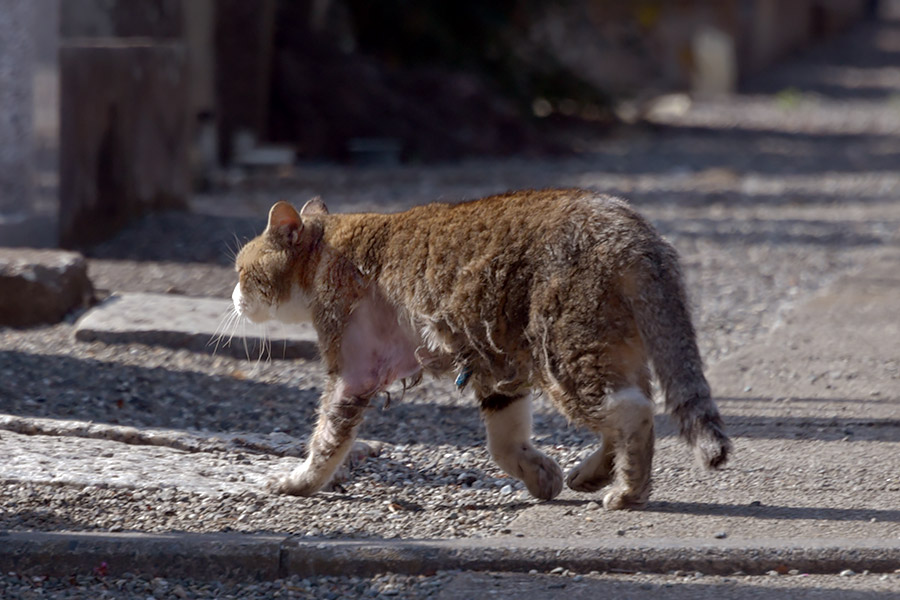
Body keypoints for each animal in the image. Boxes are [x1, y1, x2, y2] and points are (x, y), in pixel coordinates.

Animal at [232, 188, 732, 506]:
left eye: (240, 270)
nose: (233, 296)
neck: (329, 249)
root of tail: (633, 230)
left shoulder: (355, 371)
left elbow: (326, 441)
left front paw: (298, 483)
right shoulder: (494, 368)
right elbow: (504, 443)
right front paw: (540, 474)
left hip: (565, 353)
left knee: (634, 412)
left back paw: (628, 491)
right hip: (606, 349)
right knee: (627, 410)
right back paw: (592, 474)